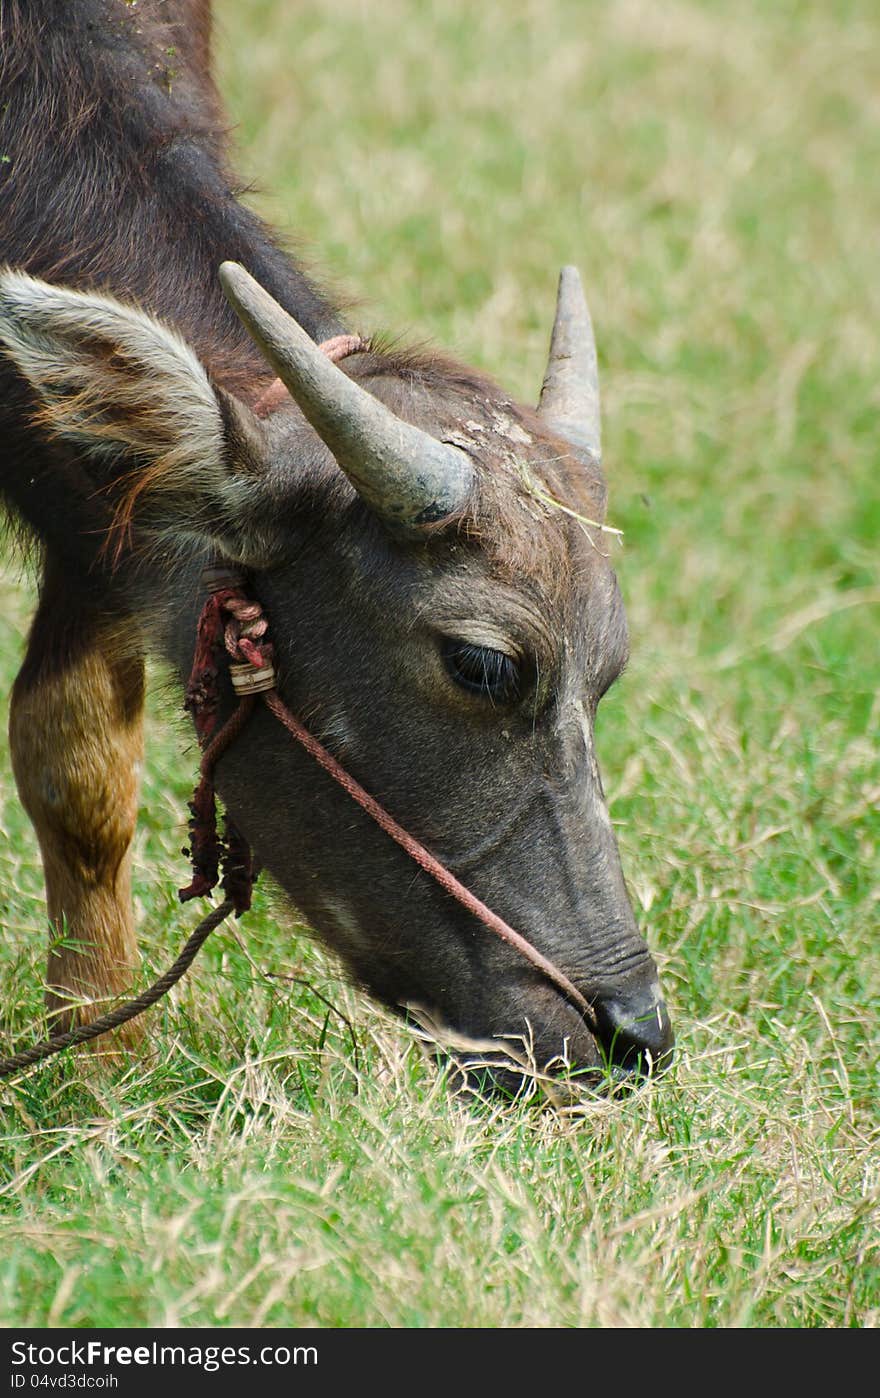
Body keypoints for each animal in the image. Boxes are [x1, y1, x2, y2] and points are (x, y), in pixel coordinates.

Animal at [0, 0, 671, 1084]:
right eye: (482, 663)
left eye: (608, 666)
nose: (629, 1029)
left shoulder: (103, 517)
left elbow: (81, 757)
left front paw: (102, 1055)